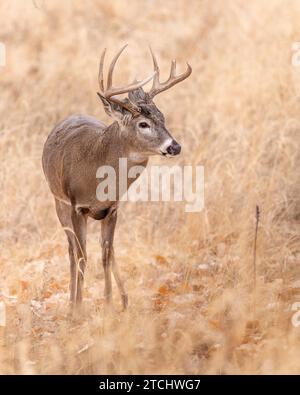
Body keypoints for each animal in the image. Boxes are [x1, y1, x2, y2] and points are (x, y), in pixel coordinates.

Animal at [42, 46, 192, 310]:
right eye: (143, 124)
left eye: (163, 117)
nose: (174, 147)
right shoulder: (76, 206)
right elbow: (82, 256)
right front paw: (78, 308)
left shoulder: (113, 208)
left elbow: (105, 254)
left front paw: (110, 303)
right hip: (58, 201)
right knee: (71, 250)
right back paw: (72, 302)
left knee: (105, 252)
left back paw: (122, 298)